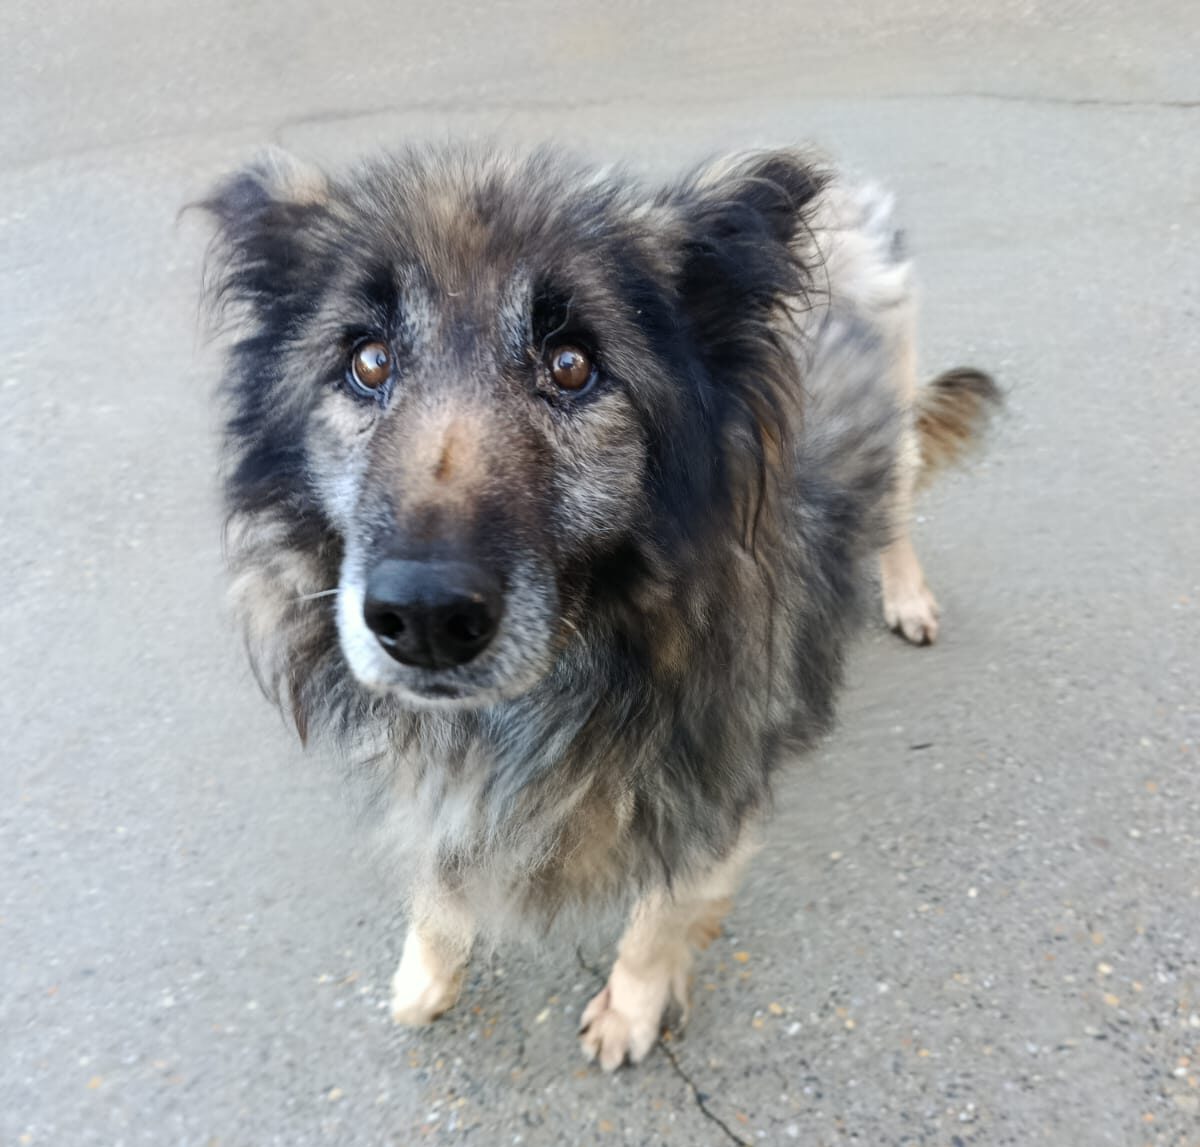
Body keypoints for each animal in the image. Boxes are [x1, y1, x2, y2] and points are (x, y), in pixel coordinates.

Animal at [199, 143, 998, 1071]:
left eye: (572, 365)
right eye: (368, 361)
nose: (424, 620)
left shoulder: (714, 793)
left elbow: (658, 919)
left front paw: (631, 1009)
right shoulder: (439, 769)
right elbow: (440, 874)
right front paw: (427, 971)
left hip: (893, 422)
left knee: (895, 508)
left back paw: (906, 594)